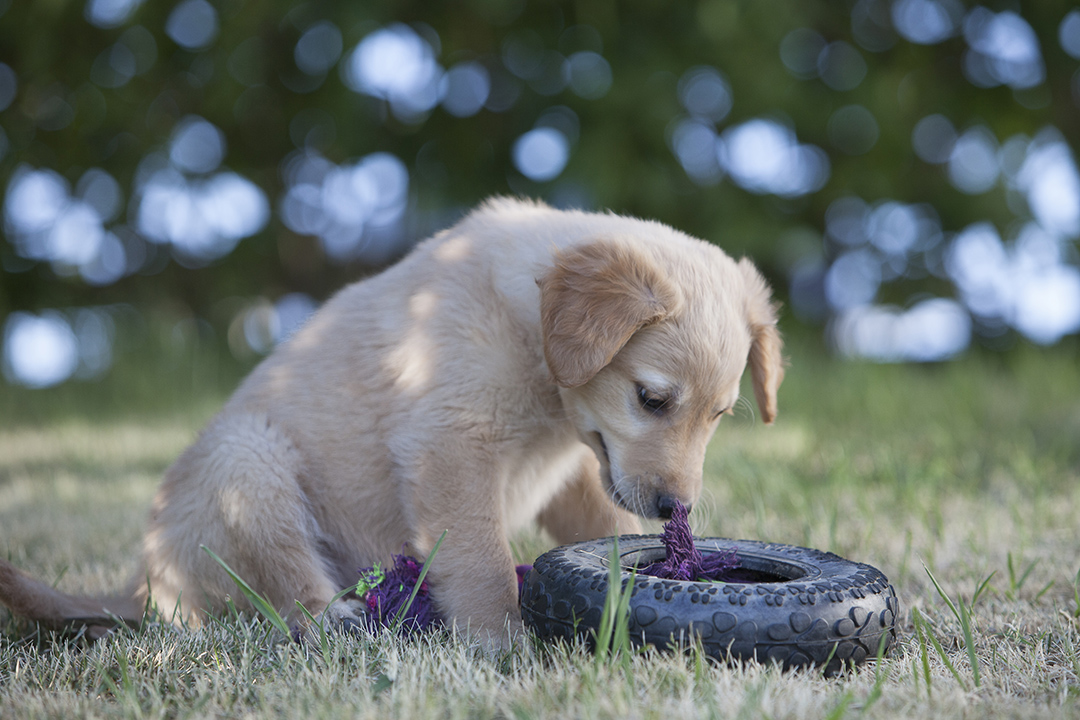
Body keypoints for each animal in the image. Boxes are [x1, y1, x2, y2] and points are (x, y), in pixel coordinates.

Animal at [0, 197, 781, 647]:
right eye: (652, 400)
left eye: (719, 416)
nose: (676, 509)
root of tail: (141, 583)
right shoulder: (451, 445)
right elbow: (482, 562)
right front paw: (508, 648)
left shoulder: (576, 472)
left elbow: (603, 526)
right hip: (246, 459)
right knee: (279, 590)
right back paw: (337, 620)